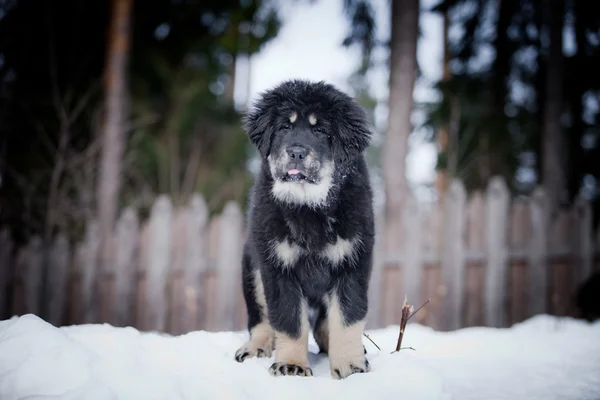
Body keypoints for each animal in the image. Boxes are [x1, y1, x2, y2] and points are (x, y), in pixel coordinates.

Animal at [234, 77, 376, 378]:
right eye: (285, 127)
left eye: (320, 130)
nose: (297, 152)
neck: (308, 205)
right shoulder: (277, 266)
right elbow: (288, 321)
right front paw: (291, 365)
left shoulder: (352, 261)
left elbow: (347, 317)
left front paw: (350, 366)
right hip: (252, 270)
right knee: (261, 319)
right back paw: (255, 347)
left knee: (324, 324)